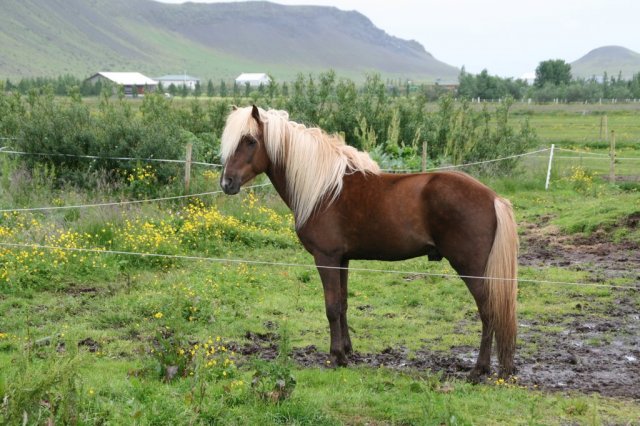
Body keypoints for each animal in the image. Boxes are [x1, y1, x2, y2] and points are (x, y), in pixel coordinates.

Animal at [220, 105, 520, 378]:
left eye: (250, 141)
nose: (226, 183)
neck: (324, 190)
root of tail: (493, 198)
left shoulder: (326, 258)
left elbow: (331, 308)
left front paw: (336, 357)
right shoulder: (342, 260)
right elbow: (342, 304)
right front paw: (347, 351)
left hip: (472, 269)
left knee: (489, 312)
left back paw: (478, 370)